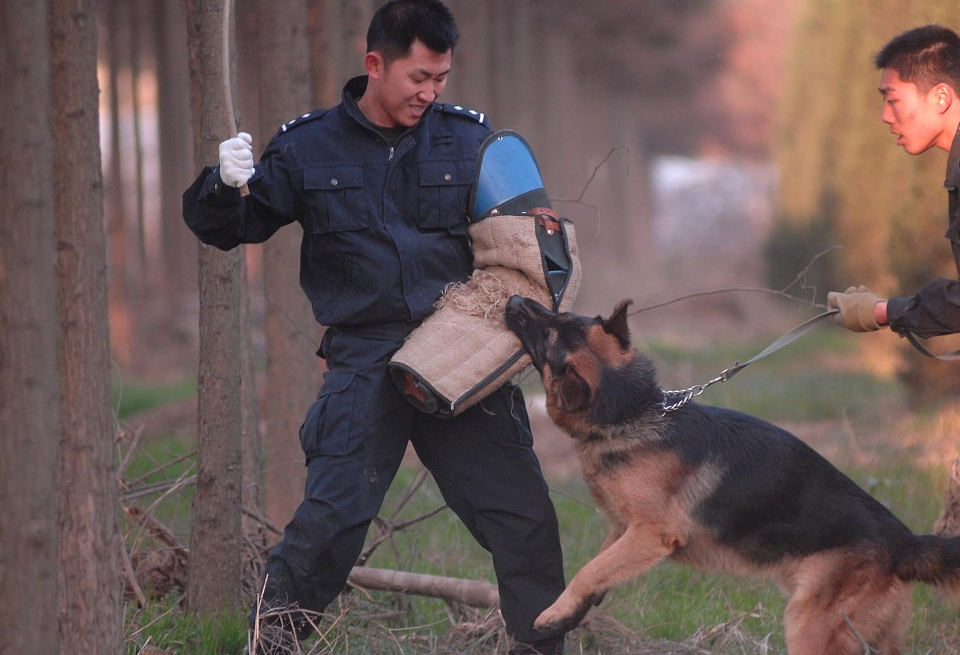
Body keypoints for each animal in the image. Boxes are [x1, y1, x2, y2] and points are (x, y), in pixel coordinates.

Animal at [502, 298, 960, 655]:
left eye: (550, 333)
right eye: (559, 318)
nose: (514, 299)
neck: (633, 414)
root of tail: (905, 543)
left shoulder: (651, 533)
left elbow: (589, 569)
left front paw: (553, 612)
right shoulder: (625, 528)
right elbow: (599, 563)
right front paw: (577, 607)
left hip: (809, 625)